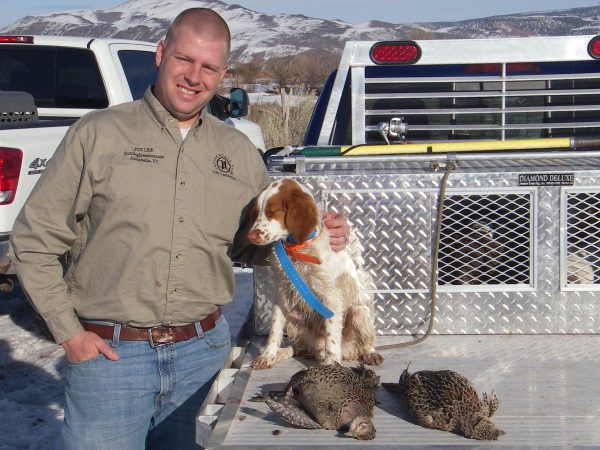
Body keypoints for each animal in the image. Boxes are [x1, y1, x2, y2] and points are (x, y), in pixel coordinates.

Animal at [246, 178, 382, 370]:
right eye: (257, 213)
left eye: (272, 212)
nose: (250, 236)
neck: (298, 248)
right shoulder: (282, 292)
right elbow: (274, 329)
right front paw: (268, 355)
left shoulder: (331, 297)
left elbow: (332, 338)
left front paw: (331, 365)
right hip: (295, 319)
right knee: (301, 349)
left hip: (359, 313)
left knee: (364, 342)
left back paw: (370, 354)